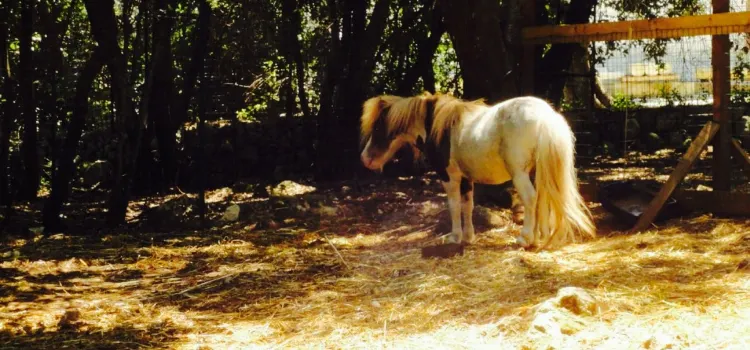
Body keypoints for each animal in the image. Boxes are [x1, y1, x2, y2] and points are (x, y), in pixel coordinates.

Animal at [362, 90, 596, 249]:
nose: (365, 159)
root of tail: (546, 116)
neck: (439, 125)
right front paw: (468, 237)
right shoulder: (466, 179)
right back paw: (539, 237)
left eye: (378, 126)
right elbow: (468, 206)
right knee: (540, 200)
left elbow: (454, 205)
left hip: (520, 174)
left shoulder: (449, 177)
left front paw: (454, 237)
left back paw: (525, 238)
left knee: (530, 198)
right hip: (537, 172)